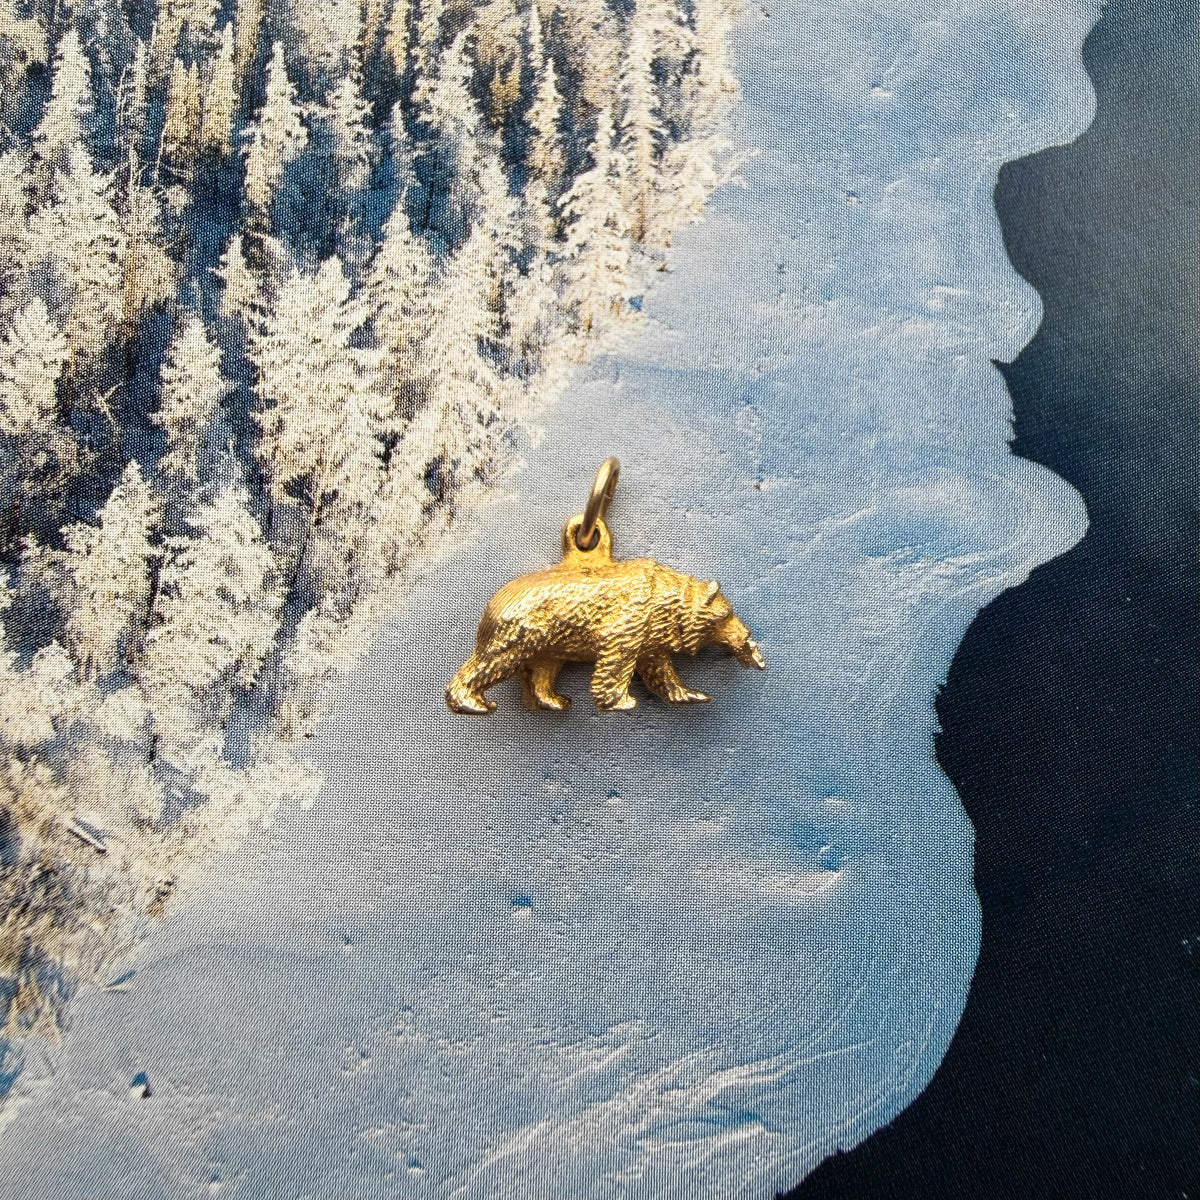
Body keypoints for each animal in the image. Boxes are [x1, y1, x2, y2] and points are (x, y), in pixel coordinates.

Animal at [445, 519, 764, 714]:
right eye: (728, 614)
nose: (748, 638)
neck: (665, 605)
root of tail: (494, 604)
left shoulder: (651, 638)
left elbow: (660, 670)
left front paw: (691, 693)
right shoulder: (632, 617)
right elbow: (617, 658)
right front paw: (622, 701)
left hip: (548, 644)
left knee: (542, 672)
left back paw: (554, 701)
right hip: (523, 630)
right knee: (495, 661)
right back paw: (473, 702)